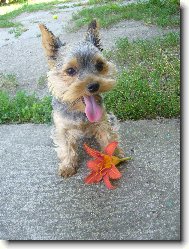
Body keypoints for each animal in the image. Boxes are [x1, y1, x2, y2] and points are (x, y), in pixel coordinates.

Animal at [39, 20, 123, 178]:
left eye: (99, 65)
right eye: (70, 70)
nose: (94, 85)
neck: (79, 111)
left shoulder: (103, 121)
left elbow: (108, 138)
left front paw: (113, 156)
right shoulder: (62, 128)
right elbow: (65, 147)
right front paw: (68, 165)